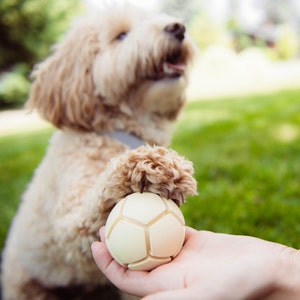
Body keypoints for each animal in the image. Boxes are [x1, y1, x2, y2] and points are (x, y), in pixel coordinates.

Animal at [1, 4, 197, 300]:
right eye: (121, 35)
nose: (178, 28)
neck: (114, 130)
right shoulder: (70, 223)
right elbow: (95, 204)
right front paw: (148, 165)